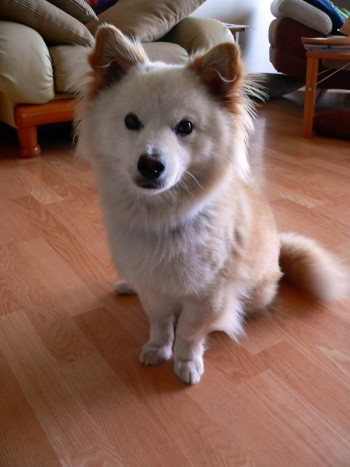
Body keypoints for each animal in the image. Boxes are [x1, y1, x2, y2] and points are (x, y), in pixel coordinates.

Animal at [75, 24, 348, 384]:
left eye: (185, 127)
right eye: (131, 122)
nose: (151, 165)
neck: (161, 217)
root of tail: (279, 253)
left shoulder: (206, 296)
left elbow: (189, 333)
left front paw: (186, 362)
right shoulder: (153, 290)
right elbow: (160, 323)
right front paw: (157, 348)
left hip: (257, 292)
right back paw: (126, 285)